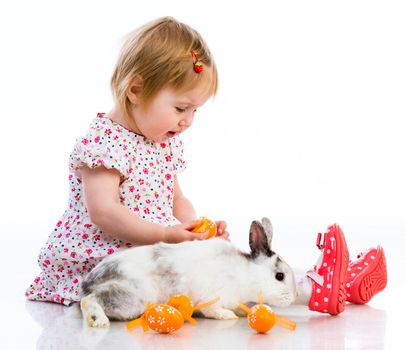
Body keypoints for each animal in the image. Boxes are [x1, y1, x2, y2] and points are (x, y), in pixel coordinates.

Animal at [79, 217, 296, 326]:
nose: (293, 298)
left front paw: (241, 312)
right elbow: (212, 310)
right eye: (280, 276)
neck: (246, 274)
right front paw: (227, 315)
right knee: (89, 300)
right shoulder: (213, 295)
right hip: (131, 297)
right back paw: (98, 321)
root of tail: (89, 282)